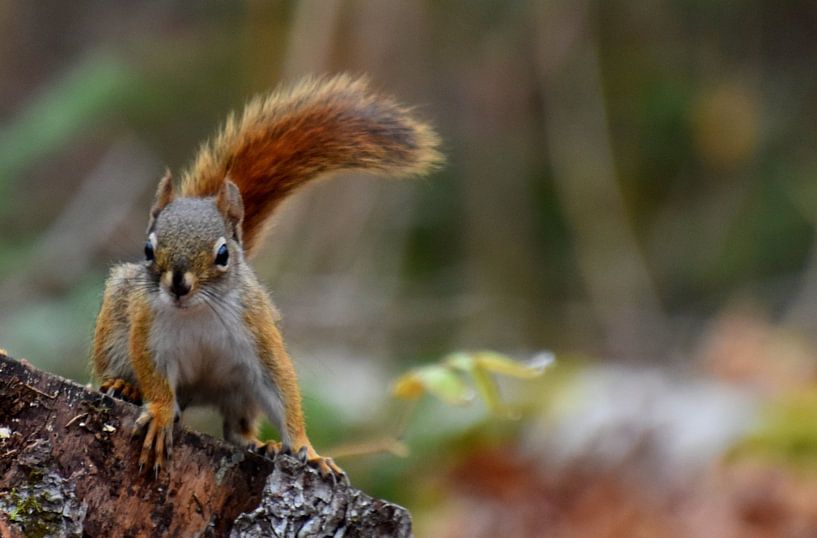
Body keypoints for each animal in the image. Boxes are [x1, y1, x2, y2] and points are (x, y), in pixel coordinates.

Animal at [91, 75, 442, 480]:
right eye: (148, 250)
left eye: (223, 255)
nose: (178, 285)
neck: (198, 312)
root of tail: (198, 394)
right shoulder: (148, 334)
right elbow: (156, 380)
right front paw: (161, 414)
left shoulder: (258, 335)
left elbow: (281, 387)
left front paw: (308, 450)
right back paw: (122, 385)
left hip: (239, 391)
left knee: (236, 429)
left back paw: (262, 444)